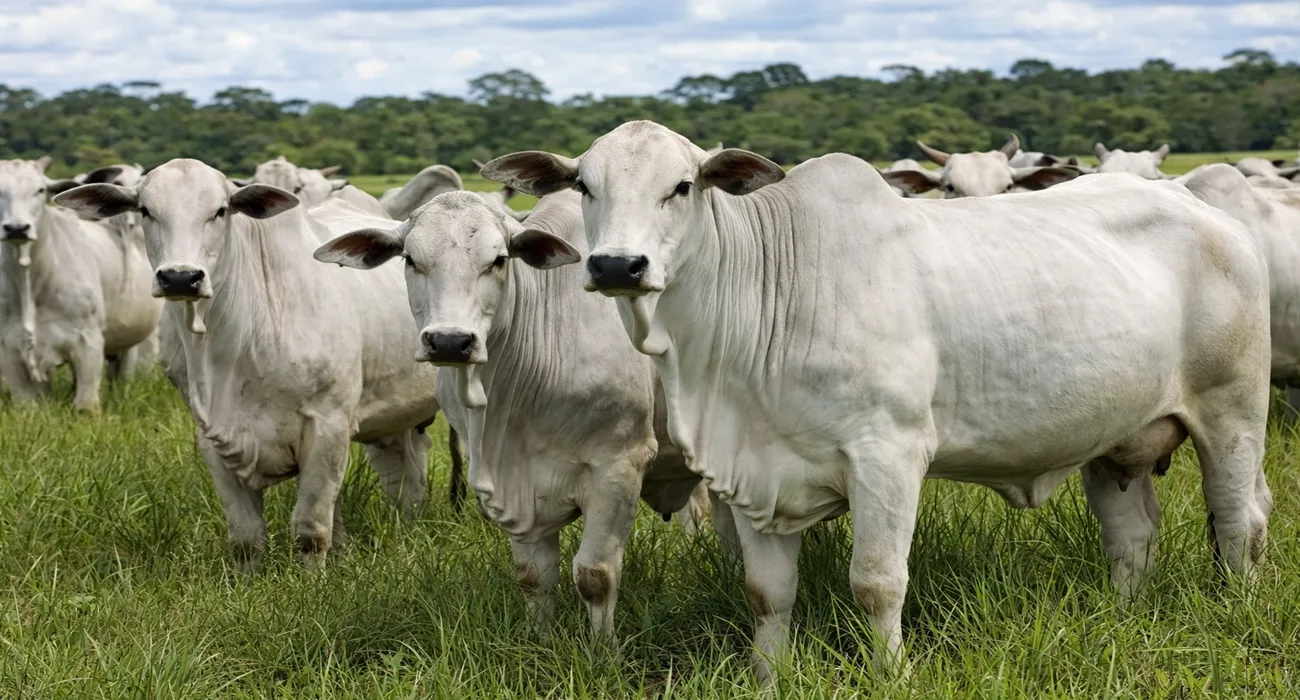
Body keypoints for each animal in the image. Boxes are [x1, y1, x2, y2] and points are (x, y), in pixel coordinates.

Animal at [0, 158, 161, 411]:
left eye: (40, 190)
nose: (17, 228)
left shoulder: (88, 341)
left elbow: (86, 405)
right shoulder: (10, 348)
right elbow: (28, 405)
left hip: (135, 340)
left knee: (124, 375)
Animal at [55, 159, 442, 572]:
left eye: (220, 211)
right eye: (145, 210)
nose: (181, 277)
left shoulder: (329, 425)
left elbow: (311, 529)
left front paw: (314, 580)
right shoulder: (213, 436)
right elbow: (246, 536)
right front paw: (248, 579)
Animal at [314, 189, 713, 640]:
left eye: (499, 259)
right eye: (410, 259)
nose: (449, 341)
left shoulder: (618, 467)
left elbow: (595, 576)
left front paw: (603, 649)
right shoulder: (507, 482)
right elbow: (533, 577)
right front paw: (540, 641)